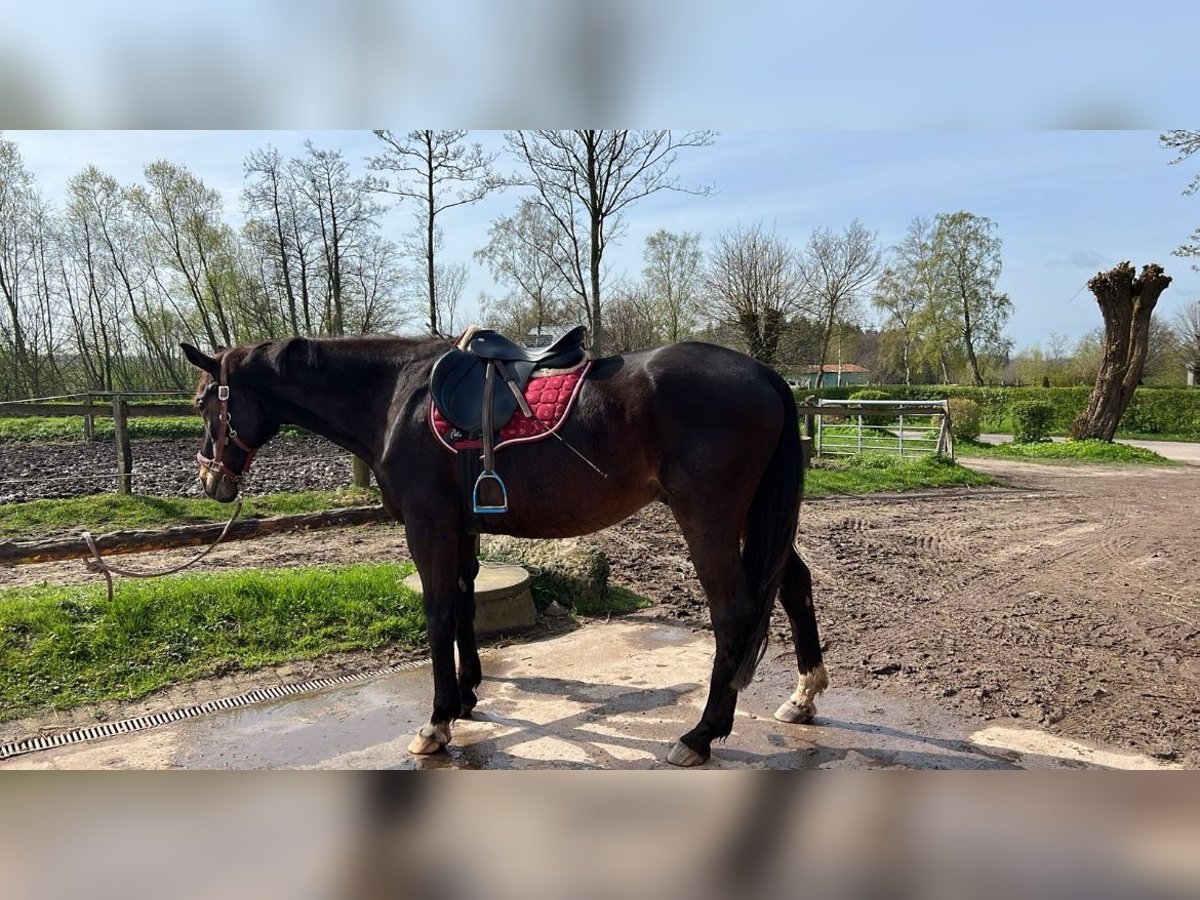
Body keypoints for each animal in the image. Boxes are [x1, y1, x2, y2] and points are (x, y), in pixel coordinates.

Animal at [182, 336, 830, 772]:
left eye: (203, 403)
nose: (211, 481)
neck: (396, 398)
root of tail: (763, 374)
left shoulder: (428, 527)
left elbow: (439, 612)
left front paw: (437, 722)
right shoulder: (462, 527)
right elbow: (465, 602)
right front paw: (468, 695)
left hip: (710, 521)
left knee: (733, 612)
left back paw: (701, 735)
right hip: (756, 517)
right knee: (794, 585)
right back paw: (802, 697)